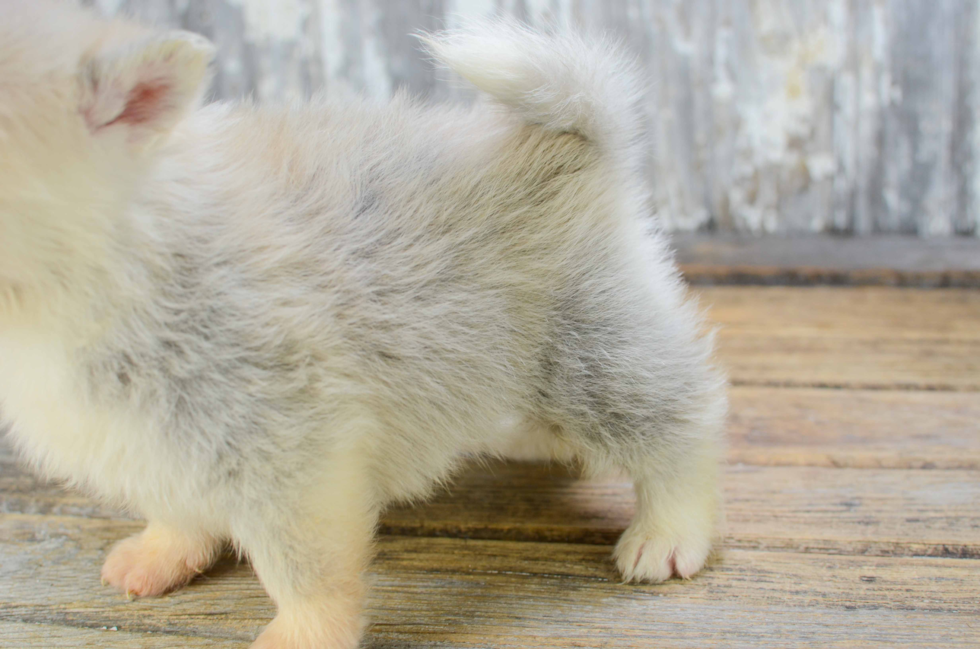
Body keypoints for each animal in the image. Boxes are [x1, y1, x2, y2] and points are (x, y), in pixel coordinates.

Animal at [1, 2, 728, 644]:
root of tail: (573, 140)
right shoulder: (160, 442)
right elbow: (177, 508)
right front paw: (162, 554)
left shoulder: (292, 454)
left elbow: (303, 570)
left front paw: (303, 634)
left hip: (593, 352)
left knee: (680, 429)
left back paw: (668, 533)